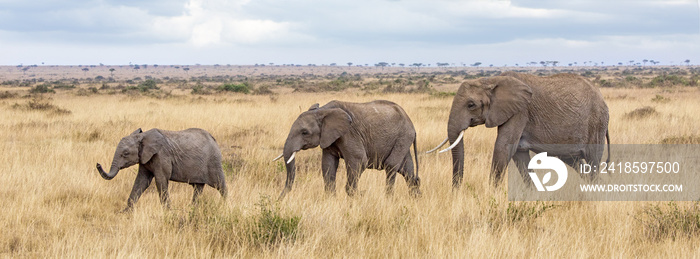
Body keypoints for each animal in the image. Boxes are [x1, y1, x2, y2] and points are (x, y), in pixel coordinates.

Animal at [95, 127, 227, 211]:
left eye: (126, 153)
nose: (97, 164)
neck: (143, 136)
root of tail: (213, 138)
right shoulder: (145, 158)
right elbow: (141, 181)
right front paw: (126, 212)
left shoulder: (161, 155)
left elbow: (160, 180)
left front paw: (168, 213)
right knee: (198, 188)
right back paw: (193, 209)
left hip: (213, 161)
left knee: (220, 185)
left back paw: (225, 206)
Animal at [274, 100, 422, 200]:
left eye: (304, 132)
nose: (279, 199)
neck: (323, 110)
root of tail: (412, 124)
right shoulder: (329, 138)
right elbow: (328, 164)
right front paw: (331, 200)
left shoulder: (349, 133)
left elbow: (359, 160)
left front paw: (356, 197)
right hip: (403, 139)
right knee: (407, 170)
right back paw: (415, 198)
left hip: (403, 136)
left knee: (391, 165)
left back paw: (388, 198)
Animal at [426, 72, 608, 190]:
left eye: (471, 105)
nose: (456, 191)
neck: (491, 81)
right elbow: (518, 153)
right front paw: (533, 193)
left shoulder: (520, 111)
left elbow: (503, 146)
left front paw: (492, 193)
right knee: (576, 162)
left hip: (597, 123)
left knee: (592, 160)